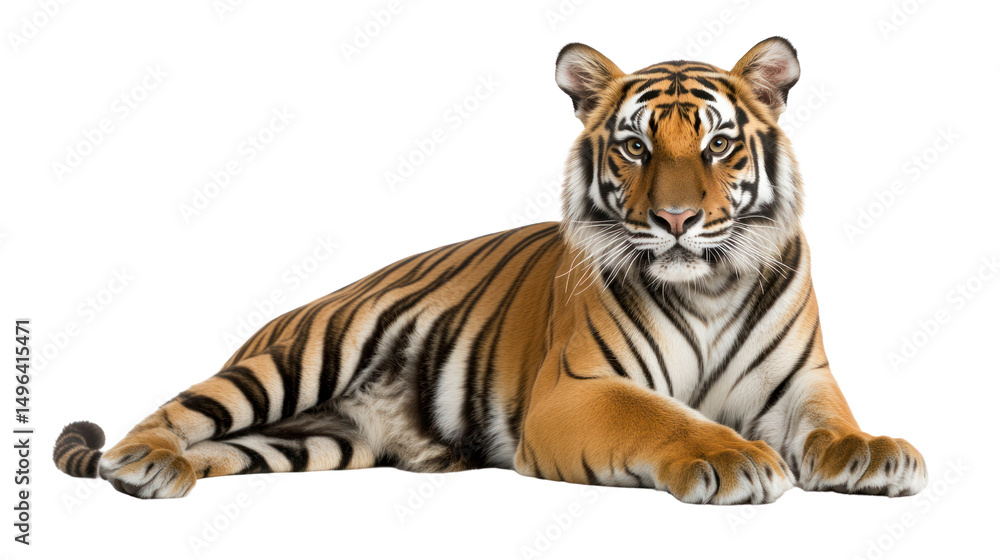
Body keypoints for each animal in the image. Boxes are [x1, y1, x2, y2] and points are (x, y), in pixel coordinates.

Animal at [54, 37, 927, 505]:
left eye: (717, 145)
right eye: (635, 146)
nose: (677, 220)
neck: (706, 283)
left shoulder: (802, 384)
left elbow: (833, 425)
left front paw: (876, 452)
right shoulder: (579, 391)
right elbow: (663, 417)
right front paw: (730, 457)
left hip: (308, 443)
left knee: (224, 448)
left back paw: (168, 473)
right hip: (292, 362)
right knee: (172, 413)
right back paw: (142, 461)